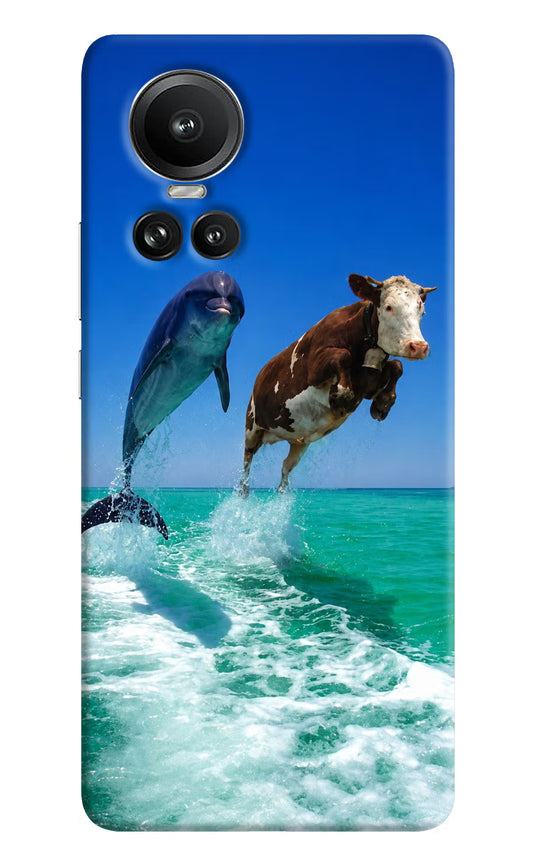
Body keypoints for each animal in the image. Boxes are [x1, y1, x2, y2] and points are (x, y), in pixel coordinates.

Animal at [239, 273, 436, 495]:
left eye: (422, 310)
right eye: (388, 307)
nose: (418, 347)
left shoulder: (368, 383)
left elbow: (397, 365)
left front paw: (383, 404)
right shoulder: (314, 368)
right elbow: (342, 355)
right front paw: (341, 396)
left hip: (299, 442)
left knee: (285, 467)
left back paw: (283, 492)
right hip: (252, 427)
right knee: (246, 462)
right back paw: (243, 490)